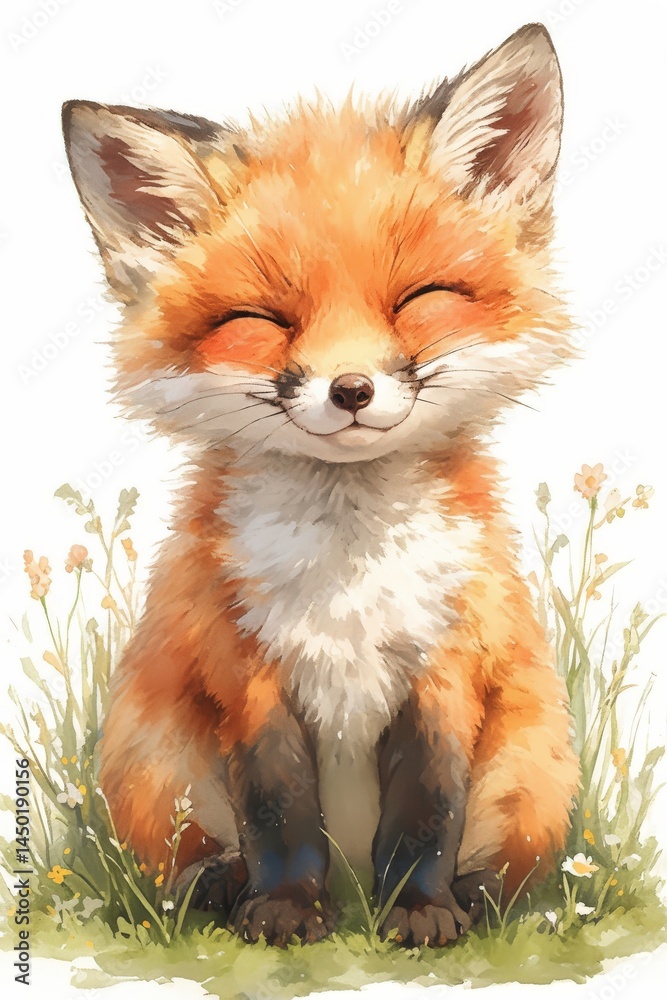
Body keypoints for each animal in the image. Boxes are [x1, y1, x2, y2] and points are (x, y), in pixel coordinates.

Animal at [62, 22, 580, 949]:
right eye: (260, 322)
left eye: (419, 299)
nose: (350, 390)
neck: (348, 569)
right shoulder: (244, 672)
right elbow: (279, 812)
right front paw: (284, 913)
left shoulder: (444, 665)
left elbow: (425, 813)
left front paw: (417, 914)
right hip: (152, 764)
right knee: (186, 862)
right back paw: (218, 889)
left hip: (532, 773)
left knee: (509, 871)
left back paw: (479, 902)